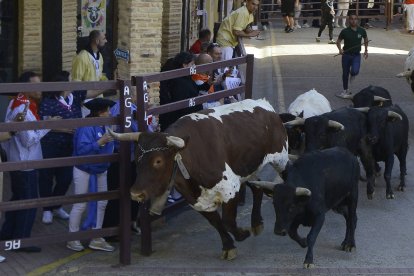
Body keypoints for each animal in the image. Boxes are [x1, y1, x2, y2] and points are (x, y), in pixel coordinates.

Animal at [111, 98, 292, 258]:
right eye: (136, 157)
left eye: (158, 161)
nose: (135, 193)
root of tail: (266, 106)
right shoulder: (196, 201)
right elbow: (216, 222)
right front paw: (228, 247)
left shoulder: (229, 189)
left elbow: (228, 221)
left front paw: (241, 234)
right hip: (246, 169)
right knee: (257, 187)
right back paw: (256, 223)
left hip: (280, 159)